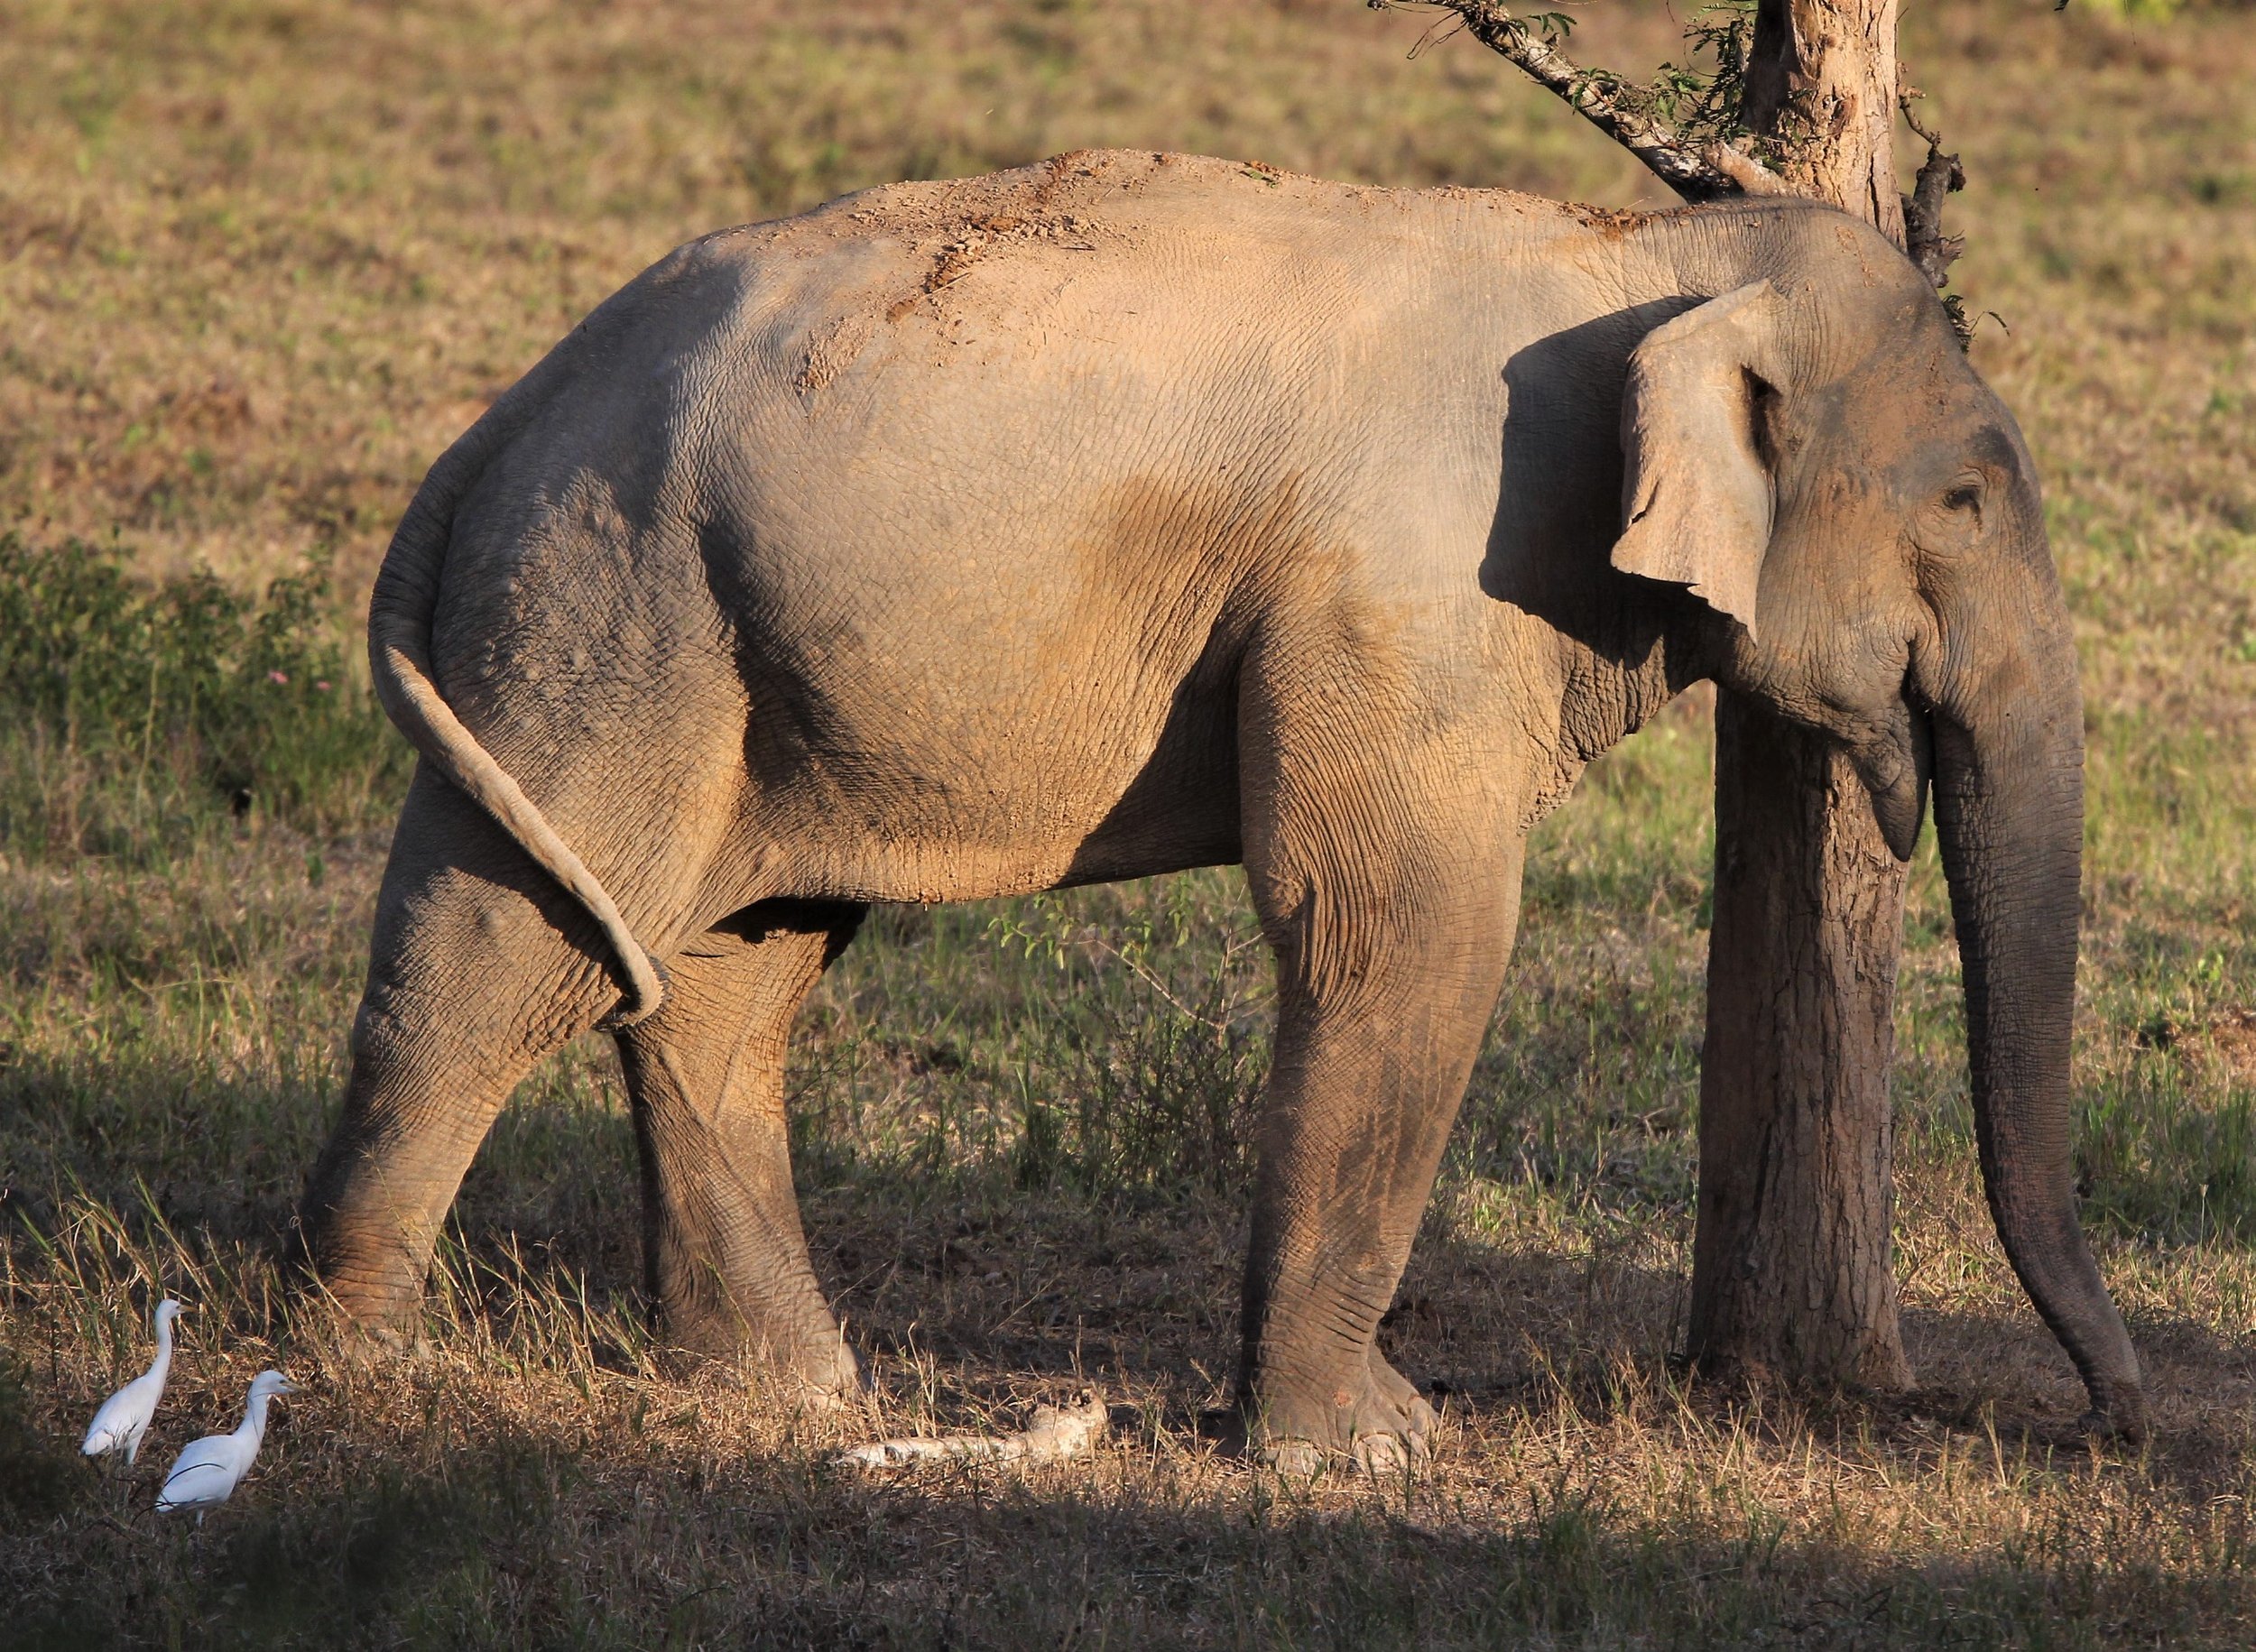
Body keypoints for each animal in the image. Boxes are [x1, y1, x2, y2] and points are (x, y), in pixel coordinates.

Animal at [294, 148, 2147, 1460]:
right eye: (1966, 499)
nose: (2115, 1417)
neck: (1640, 251)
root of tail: (502, 417)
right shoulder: (1404, 590)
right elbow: (1403, 931)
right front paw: (1371, 1453)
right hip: (610, 608)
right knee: (504, 951)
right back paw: (352, 1373)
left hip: (747, 648)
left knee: (727, 977)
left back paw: (788, 1395)